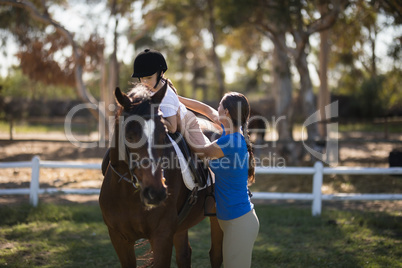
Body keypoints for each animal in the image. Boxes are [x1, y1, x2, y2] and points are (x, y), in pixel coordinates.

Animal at [98, 84, 223, 268]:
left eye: (163, 134)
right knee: (184, 255)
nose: (155, 192)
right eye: (129, 135)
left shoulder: (162, 236)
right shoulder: (119, 239)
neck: (128, 195)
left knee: (215, 255)